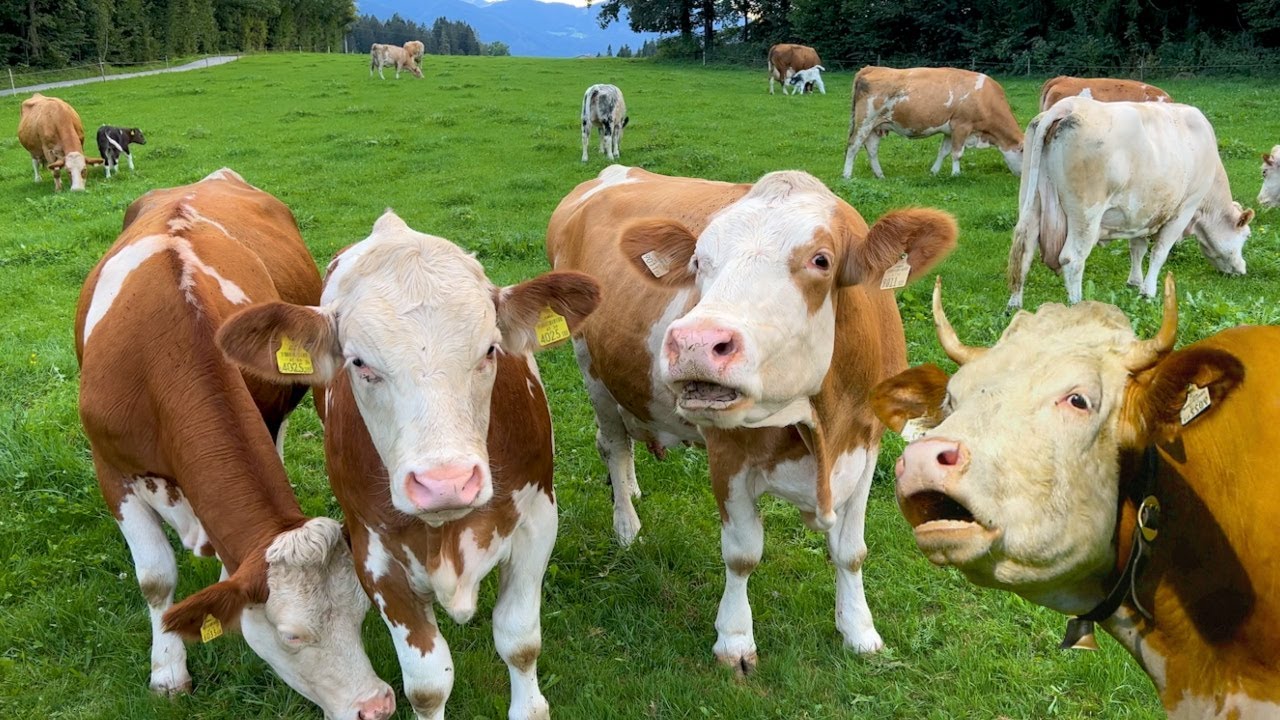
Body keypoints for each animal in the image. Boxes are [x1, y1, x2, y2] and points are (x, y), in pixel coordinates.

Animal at [74, 168, 395, 720]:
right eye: (291, 636)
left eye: (360, 615)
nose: (376, 706)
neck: (163, 354)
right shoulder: (110, 468)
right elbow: (155, 578)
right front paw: (167, 671)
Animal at [216, 210, 601, 720]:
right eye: (360, 363)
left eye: (490, 350)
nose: (445, 483)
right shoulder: (373, 555)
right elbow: (427, 685)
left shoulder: (537, 521)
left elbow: (519, 641)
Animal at [547, 164, 957, 673]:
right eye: (698, 261)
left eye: (821, 260)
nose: (696, 341)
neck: (822, 425)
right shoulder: (728, 455)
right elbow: (742, 555)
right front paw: (735, 640)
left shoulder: (867, 444)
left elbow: (851, 552)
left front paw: (859, 631)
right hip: (591, 367)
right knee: (614, 444)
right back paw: (626, 523)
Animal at [842, 66, 1023, 180]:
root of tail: (872, 68)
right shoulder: (961, 126)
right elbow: (957, 153)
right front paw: (956, 175)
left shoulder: (950, 130)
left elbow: (943, 152)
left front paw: (934, 172)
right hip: (865, 121)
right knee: (853, 145)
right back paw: (847, 175)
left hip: (876, 126)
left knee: (872, 150)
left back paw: (880, 175)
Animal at [1007, 97, 1253, 308]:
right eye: (1246, 236)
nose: (1242, 269)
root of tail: (1068, 105)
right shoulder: (1184, 208)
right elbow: (1159, 252)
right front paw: (1148, 291)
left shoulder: (1142, 212)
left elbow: (1138, 248)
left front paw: (1135, 282)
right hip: (1086, 215)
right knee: (1072, 259)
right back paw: (1078, 305)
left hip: (1031, 202)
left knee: (1024, 250)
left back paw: (1014, 304)